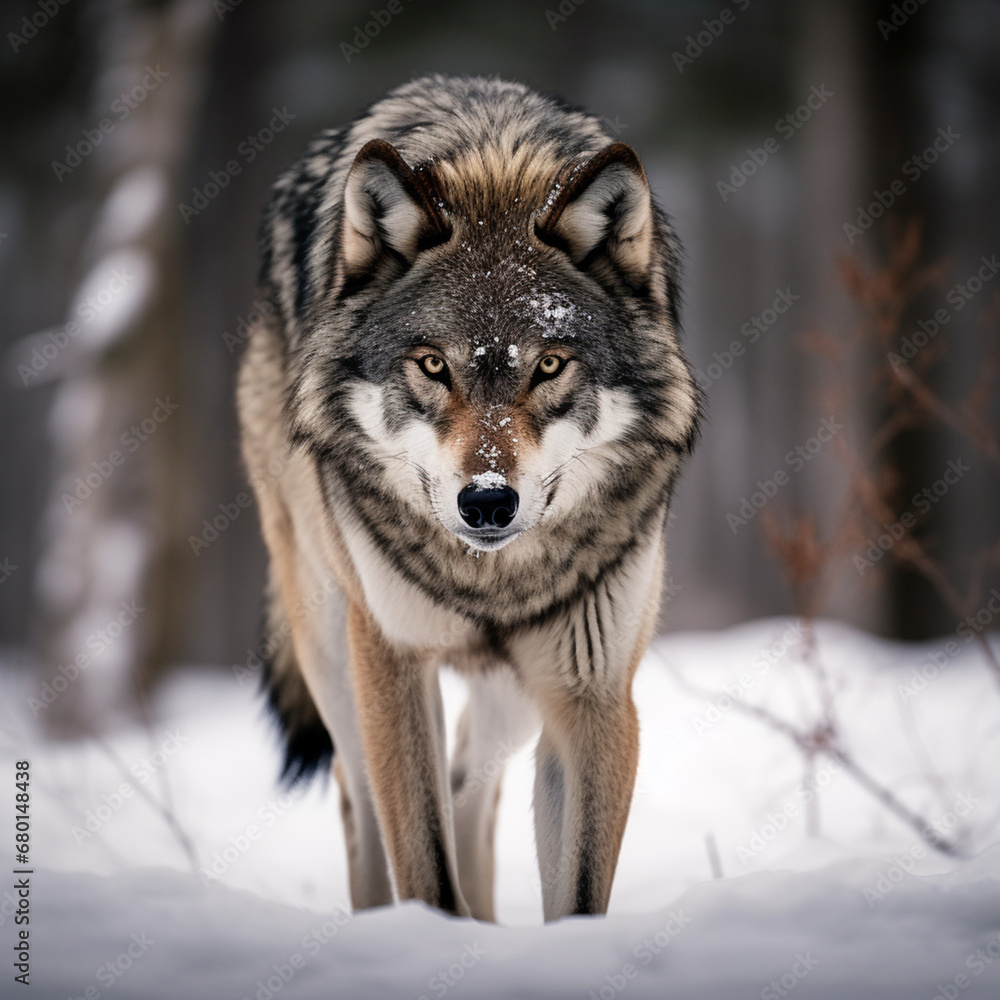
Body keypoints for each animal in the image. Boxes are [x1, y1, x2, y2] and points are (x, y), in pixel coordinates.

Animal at [237, 74, 700, 922]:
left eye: (548, 365)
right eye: (432, 365)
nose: (487, 502)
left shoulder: (593, 697)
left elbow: (577, 892)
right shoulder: (391, 661)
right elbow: (424, 863)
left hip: (514, 694)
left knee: (467, 786)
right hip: (333, 648)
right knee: (361, 794)